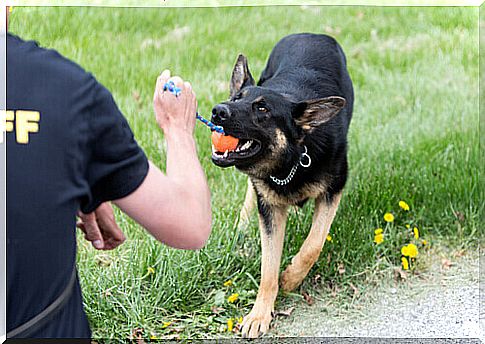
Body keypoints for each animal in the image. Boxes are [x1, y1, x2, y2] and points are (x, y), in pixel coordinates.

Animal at [210, 33, 354, 338]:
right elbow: (268, 267)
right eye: (236, 98)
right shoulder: (270, 209)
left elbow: (313, 245)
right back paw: (241, 225)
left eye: (262, 108)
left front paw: (289, 279)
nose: (217, 110)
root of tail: (312, 34)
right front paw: (259, 313)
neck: (294, 157)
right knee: (250, 192)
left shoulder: (333, 189)